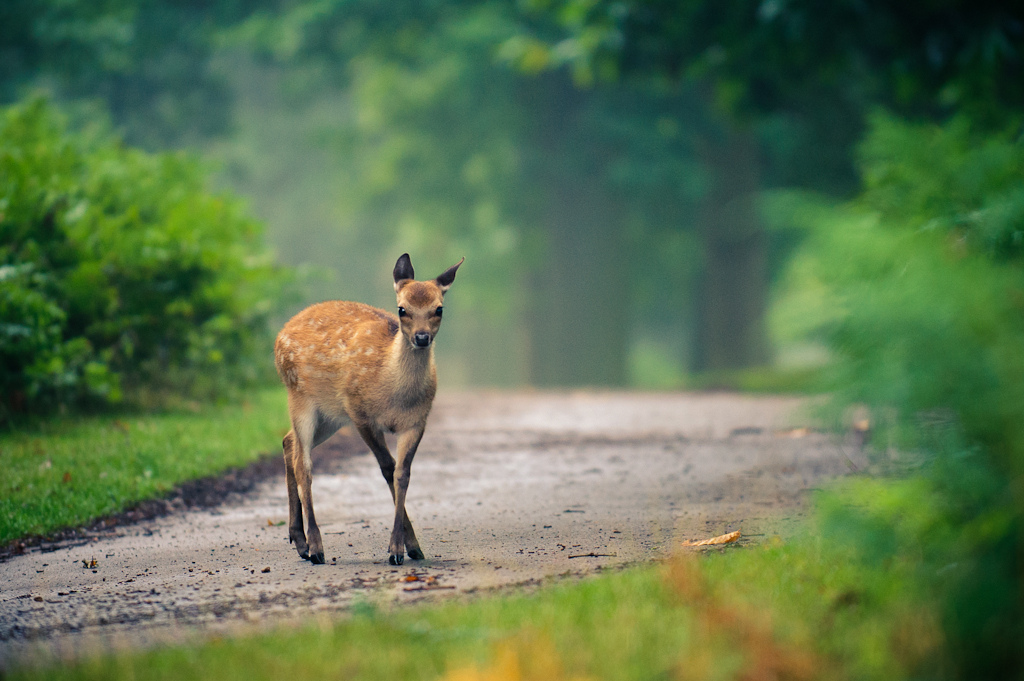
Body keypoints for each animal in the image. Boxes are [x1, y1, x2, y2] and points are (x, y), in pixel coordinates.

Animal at [274, 253, 463, 565]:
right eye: (402, 309)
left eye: (439, 308)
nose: (422, 337)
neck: (393, 392)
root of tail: (280, 334)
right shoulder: (360, 413)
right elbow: (387, 468)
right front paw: (396, 549)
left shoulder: (417, 421)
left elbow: (402, 473)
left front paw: (412, 547)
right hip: (299, 395)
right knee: (304, 464)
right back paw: (315, 547)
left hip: (330, 416)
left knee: (289, 442)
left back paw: (299, 541)